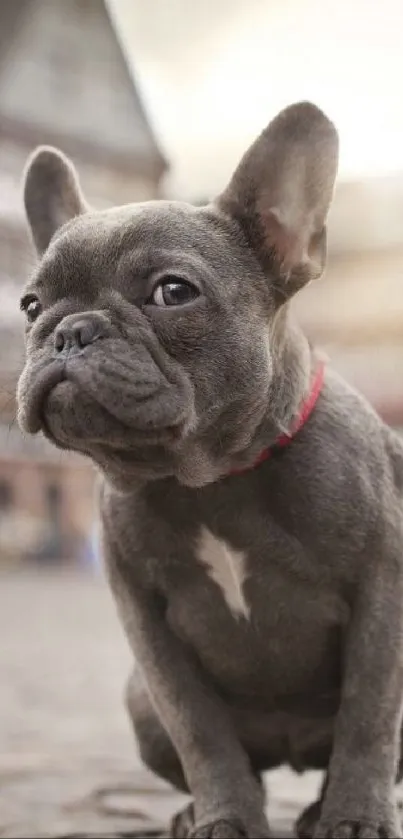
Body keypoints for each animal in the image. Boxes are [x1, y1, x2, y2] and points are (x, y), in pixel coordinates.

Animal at [17, 101, 403, 836]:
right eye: (29, 306)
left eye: (173, 292)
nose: (69, 330)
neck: (208, 482)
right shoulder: (149, 625)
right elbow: (198, 728)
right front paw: (225, 815)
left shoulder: (383, 594)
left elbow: (369, 720)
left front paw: (356, 817)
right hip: (138, 704)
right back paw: (195, 810)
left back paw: (320, 809)